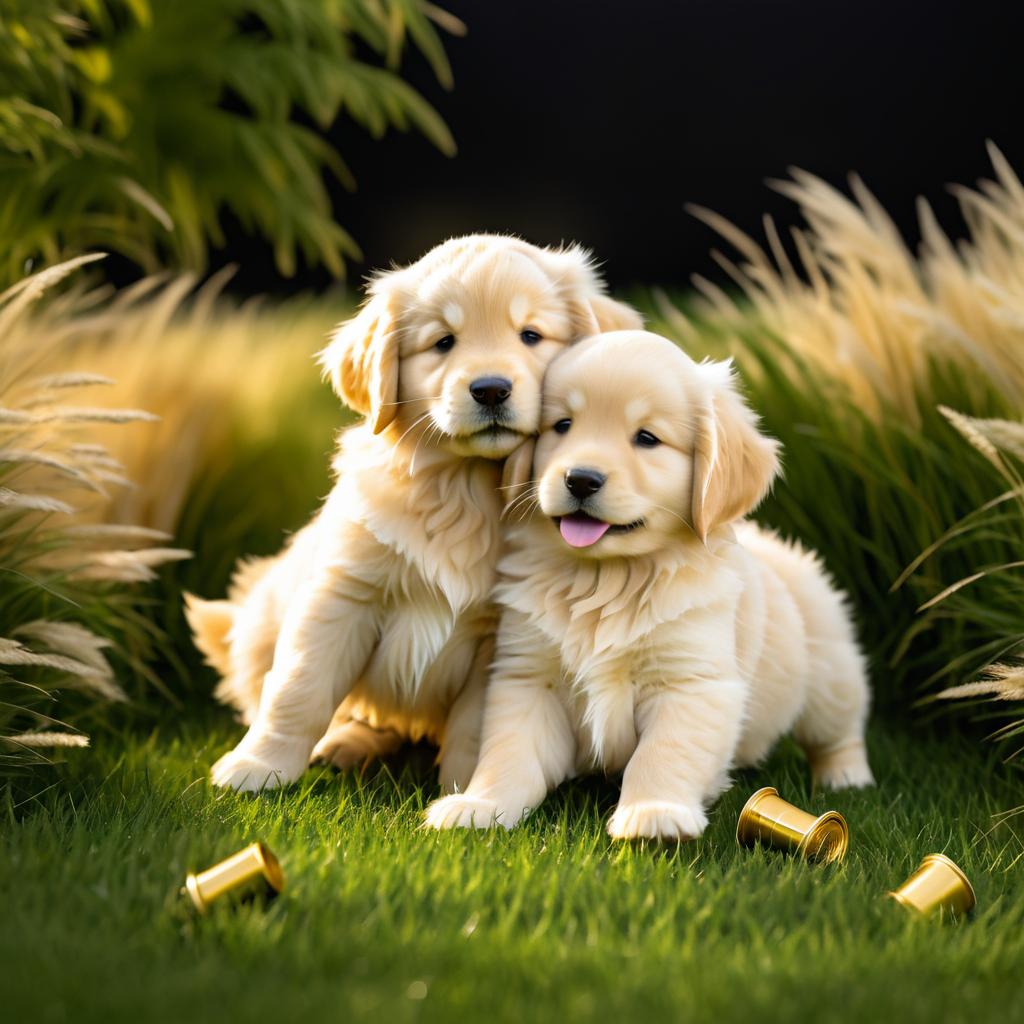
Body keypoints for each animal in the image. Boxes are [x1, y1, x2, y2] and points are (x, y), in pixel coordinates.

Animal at [423, 327, 872, 839]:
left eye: (647, 438)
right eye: (562, 426)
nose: (580, 479)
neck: (607, 577)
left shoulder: (690, 682)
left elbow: (661, 754)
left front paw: (654, 813)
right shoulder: (527, 677)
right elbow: (508, 753)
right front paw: (479, 804)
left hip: (831, 675)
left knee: (839, 731)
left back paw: (846, 777)